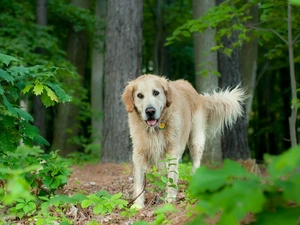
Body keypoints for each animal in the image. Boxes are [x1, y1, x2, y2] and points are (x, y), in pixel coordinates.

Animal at [122, 74, 246, 207]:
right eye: (139, 95)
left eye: (156, 92)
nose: (150, 111)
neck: (155, 128)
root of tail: (197, 94)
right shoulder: (139, 152)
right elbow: (139, 180)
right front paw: (138, 204)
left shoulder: (173, 148)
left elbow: (172, 174)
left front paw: (170, 197)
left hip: (196, 140)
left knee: (196, 163)